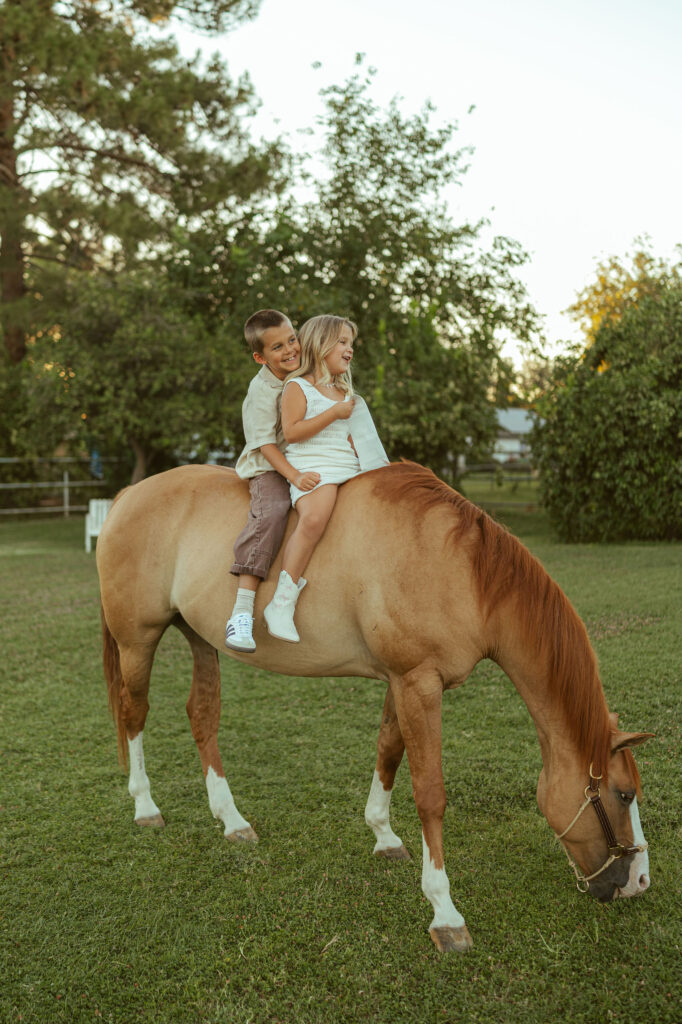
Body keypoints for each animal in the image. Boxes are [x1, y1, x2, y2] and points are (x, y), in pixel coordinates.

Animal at [96, 461, 653, 953]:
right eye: (623, 795)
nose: (639, 883)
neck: (462, 571)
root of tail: (127, 497)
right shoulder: (419, 684)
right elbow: (430, 795)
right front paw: (444, 912)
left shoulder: (403, 682)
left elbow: (388, 751)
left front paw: (383, 835)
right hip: (138, 640)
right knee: (134, 713)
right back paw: (145, 807)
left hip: (198, 635)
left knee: (202, 714)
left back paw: (231, 820)